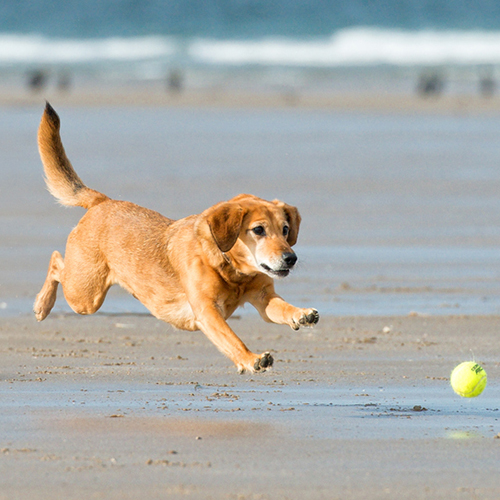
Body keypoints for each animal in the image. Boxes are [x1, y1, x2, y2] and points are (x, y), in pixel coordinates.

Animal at [33, 103, 318, 374]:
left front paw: (301, 314)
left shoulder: (263, 298)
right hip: (85, 295)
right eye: (258, 230)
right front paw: (250, 359)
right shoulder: (207, 311)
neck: (232, 270)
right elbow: (232, 339)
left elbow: (282, 309)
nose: (291, 258)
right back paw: (42, 304)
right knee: (56, 261)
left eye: (285, 229)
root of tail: (103, 201)